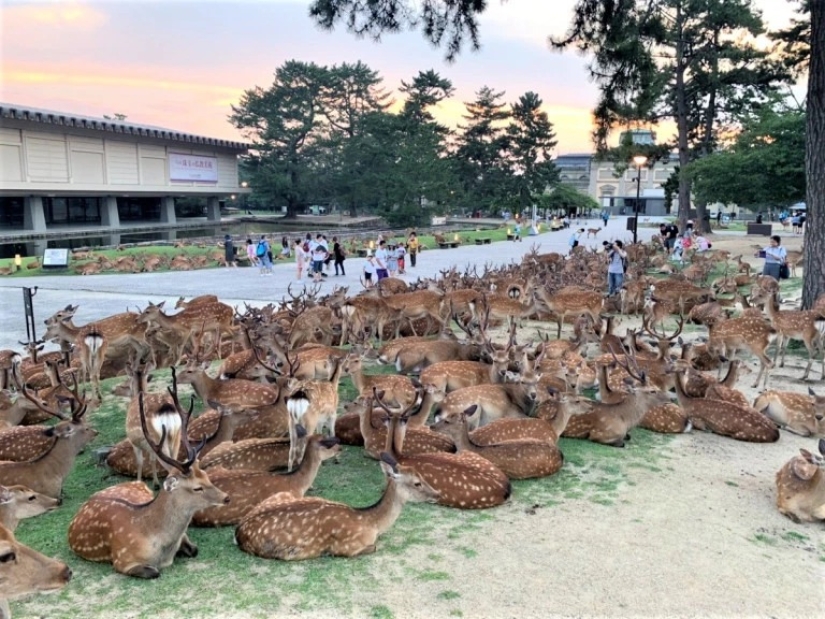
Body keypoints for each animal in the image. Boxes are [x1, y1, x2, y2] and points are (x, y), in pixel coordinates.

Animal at [66, 390, 229, 580]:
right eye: (197, 487)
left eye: (206, 476)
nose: (226, 497)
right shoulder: (122, 561)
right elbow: (154, 572)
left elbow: (194, 550)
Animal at [232, 450, 438, 560]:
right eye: (417, 483)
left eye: (422, 476)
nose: (436, 494)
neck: (371, 523)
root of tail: (238, 532)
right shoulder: (346, 547)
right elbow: (375, 547)